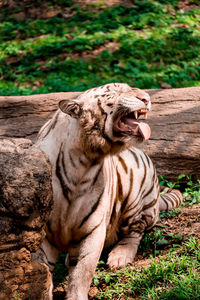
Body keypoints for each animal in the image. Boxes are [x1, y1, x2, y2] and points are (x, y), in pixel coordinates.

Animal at [34, 82, 183, 300]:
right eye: (115, 92)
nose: (146, 98)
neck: (83, 161)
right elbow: (42, 275)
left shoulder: (93, 230)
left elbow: (81, 273)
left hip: (135, 193)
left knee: (135, 232)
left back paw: (119, 257)